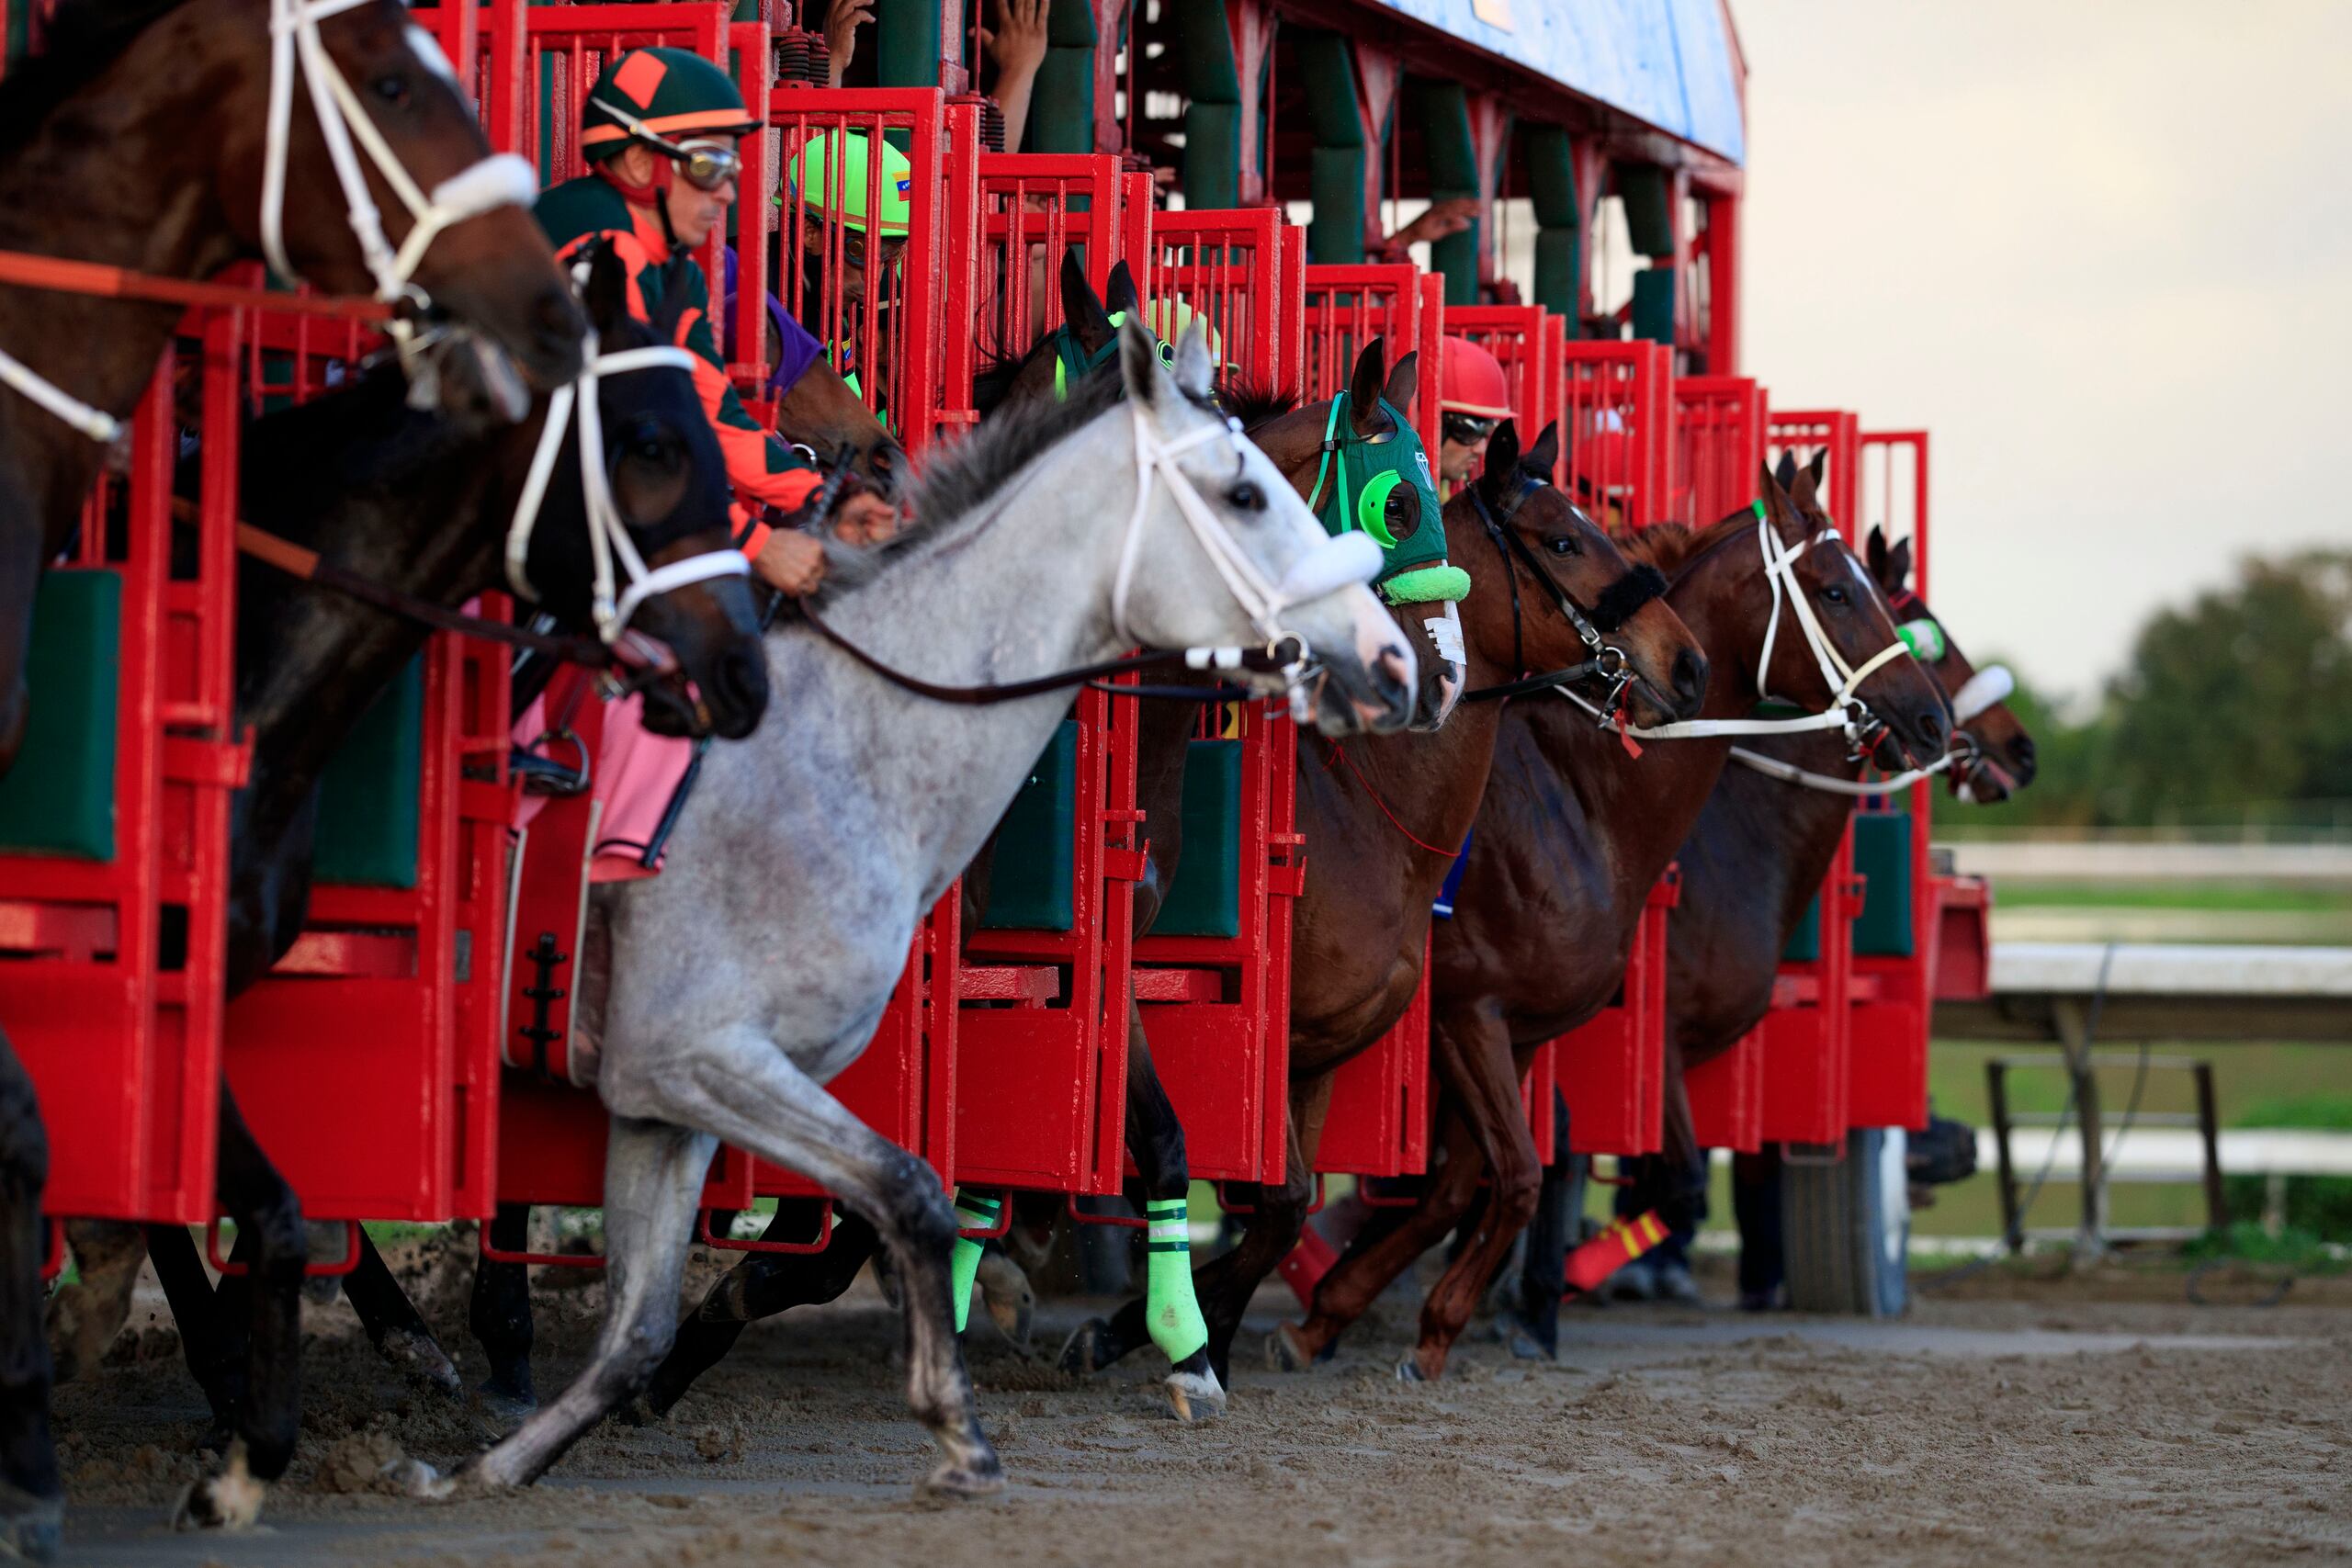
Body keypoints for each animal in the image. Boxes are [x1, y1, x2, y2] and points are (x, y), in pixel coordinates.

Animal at [442, 321, 1411, 1495]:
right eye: (1248, 495)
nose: (1412, 665)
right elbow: (883, 1200)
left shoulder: (1088, 979)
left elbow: (1148, 1142)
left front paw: (1167, 1347)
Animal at [1068, 415, 1712, 1382]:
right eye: (1565, 539)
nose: (1690, 662)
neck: (1372, 813)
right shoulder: (1434, 1015)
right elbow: (1282, 1191)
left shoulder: (1333, 1047)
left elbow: (1301, 1200)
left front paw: (1203, 1328)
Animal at [1270, 460, 1947, 1382]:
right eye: (1838, 590)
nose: (1936, 719)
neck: (1585, 799)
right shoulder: (1471, 1010)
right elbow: (1525, 1174)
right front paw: (1452, 1314)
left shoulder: (1516, 1026)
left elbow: (1469, 1181)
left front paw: (1355, 1311)